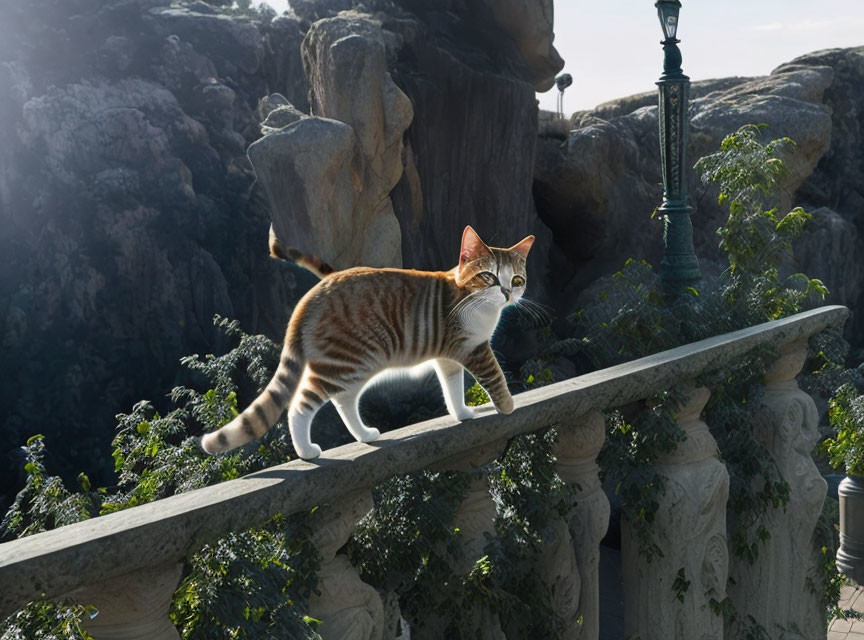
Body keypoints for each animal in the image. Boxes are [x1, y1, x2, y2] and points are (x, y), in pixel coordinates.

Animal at [201, 225, 532, 460]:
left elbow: (452, 388)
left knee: (344, 401)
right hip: (346, 361)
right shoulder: (474, 349)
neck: (473, 298)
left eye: (516, 280)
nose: (507, 293)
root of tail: (310, 297)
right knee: (300, 405)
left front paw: (462, 413)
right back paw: (306, 451)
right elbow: (495, 376)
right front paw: (508, 406)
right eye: (488, 277)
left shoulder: (448, 357)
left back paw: (364, 435)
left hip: (354, 366)